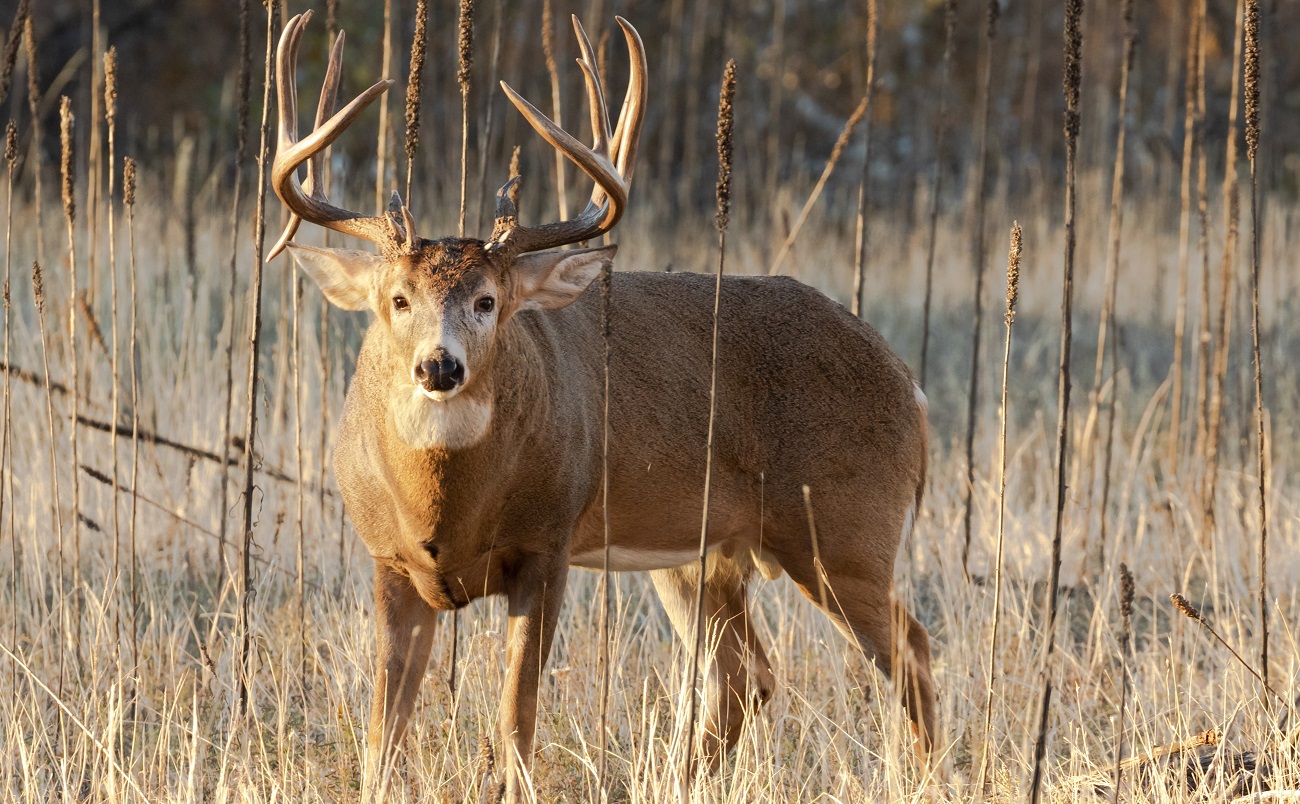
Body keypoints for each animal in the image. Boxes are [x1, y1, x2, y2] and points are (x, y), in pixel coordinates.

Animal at [271, 9, 935, 796]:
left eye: (489, 301)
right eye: (397, 299)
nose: (439, 365)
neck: (444, 511)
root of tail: (908, 382)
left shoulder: (546, 543)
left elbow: (515, 719)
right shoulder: (390, 562)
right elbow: (383, 734)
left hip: (845, 529)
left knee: (911, 653)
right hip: (704, 555)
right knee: (744, 675)